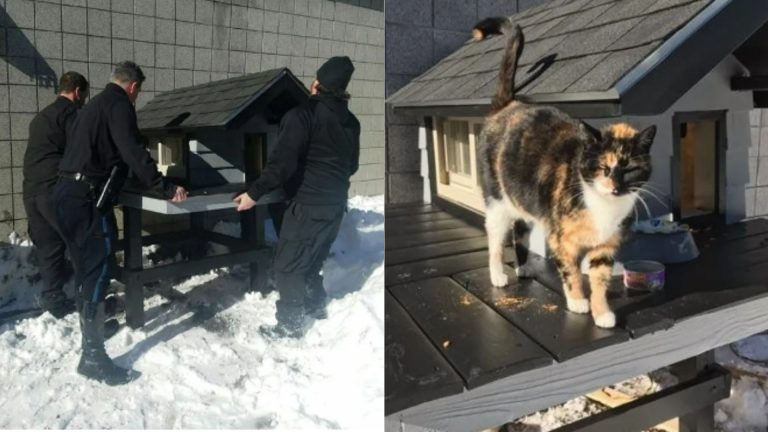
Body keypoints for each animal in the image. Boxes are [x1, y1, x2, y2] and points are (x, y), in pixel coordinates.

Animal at [476, 16, 656, 328]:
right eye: (603, 167)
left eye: (630, 169)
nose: (615, 186)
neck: (603, 207)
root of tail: (507, 105)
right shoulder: (561, 239)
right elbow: (570, 272)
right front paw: (577, 302)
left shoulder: (605, 246)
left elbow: (599, 279)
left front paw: (602, 312)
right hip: (497, 201)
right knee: (496, 238)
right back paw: (498, 274)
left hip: (524, 200)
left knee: (520, 229)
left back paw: (523, 267)